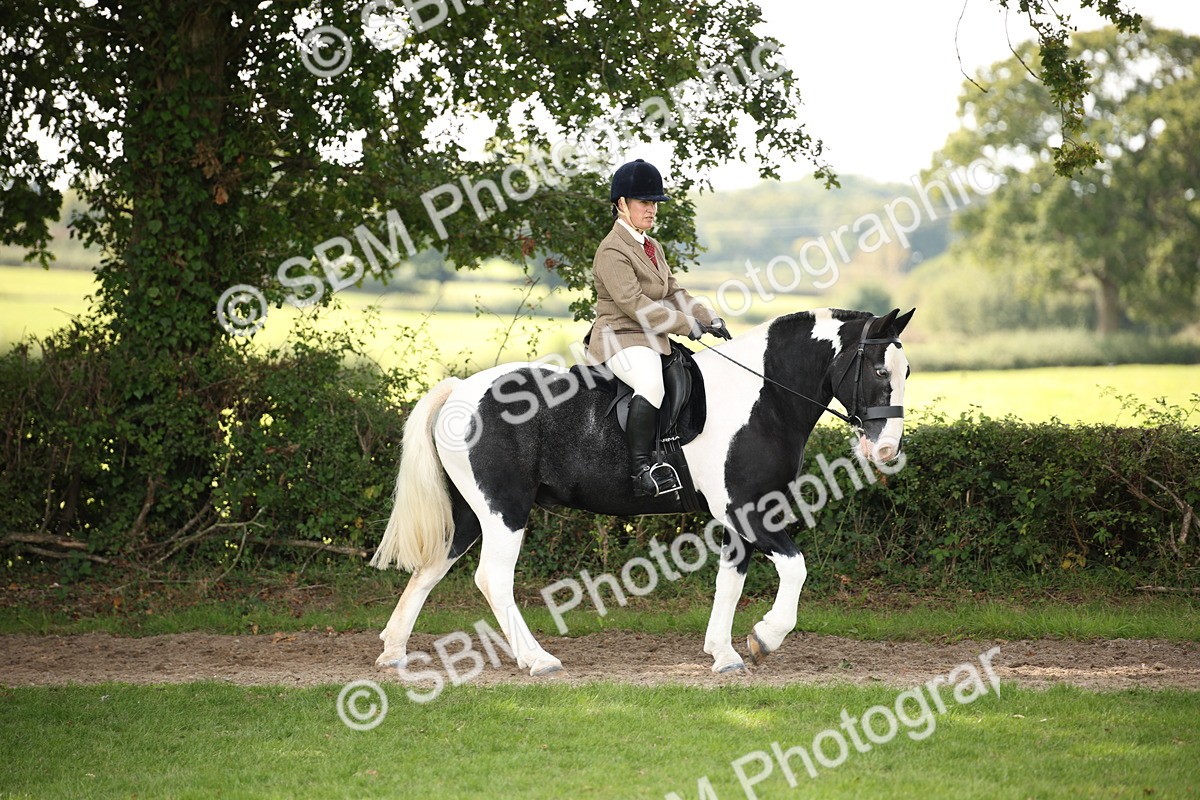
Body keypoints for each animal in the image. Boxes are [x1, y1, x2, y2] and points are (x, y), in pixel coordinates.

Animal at [371, 307, 914, 675]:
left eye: (906, 372)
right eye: (880, 371)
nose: (886, 450)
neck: (763, 398)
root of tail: (460, 390)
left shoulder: (740, 518)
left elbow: (730, 582)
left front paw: (723, 653)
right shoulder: (750, 512)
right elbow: (796, 570)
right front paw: (764, 638)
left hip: (470, 513)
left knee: (430, 568)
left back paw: (394, 651)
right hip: (505, 509)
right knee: (493, 579)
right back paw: (538, 659)